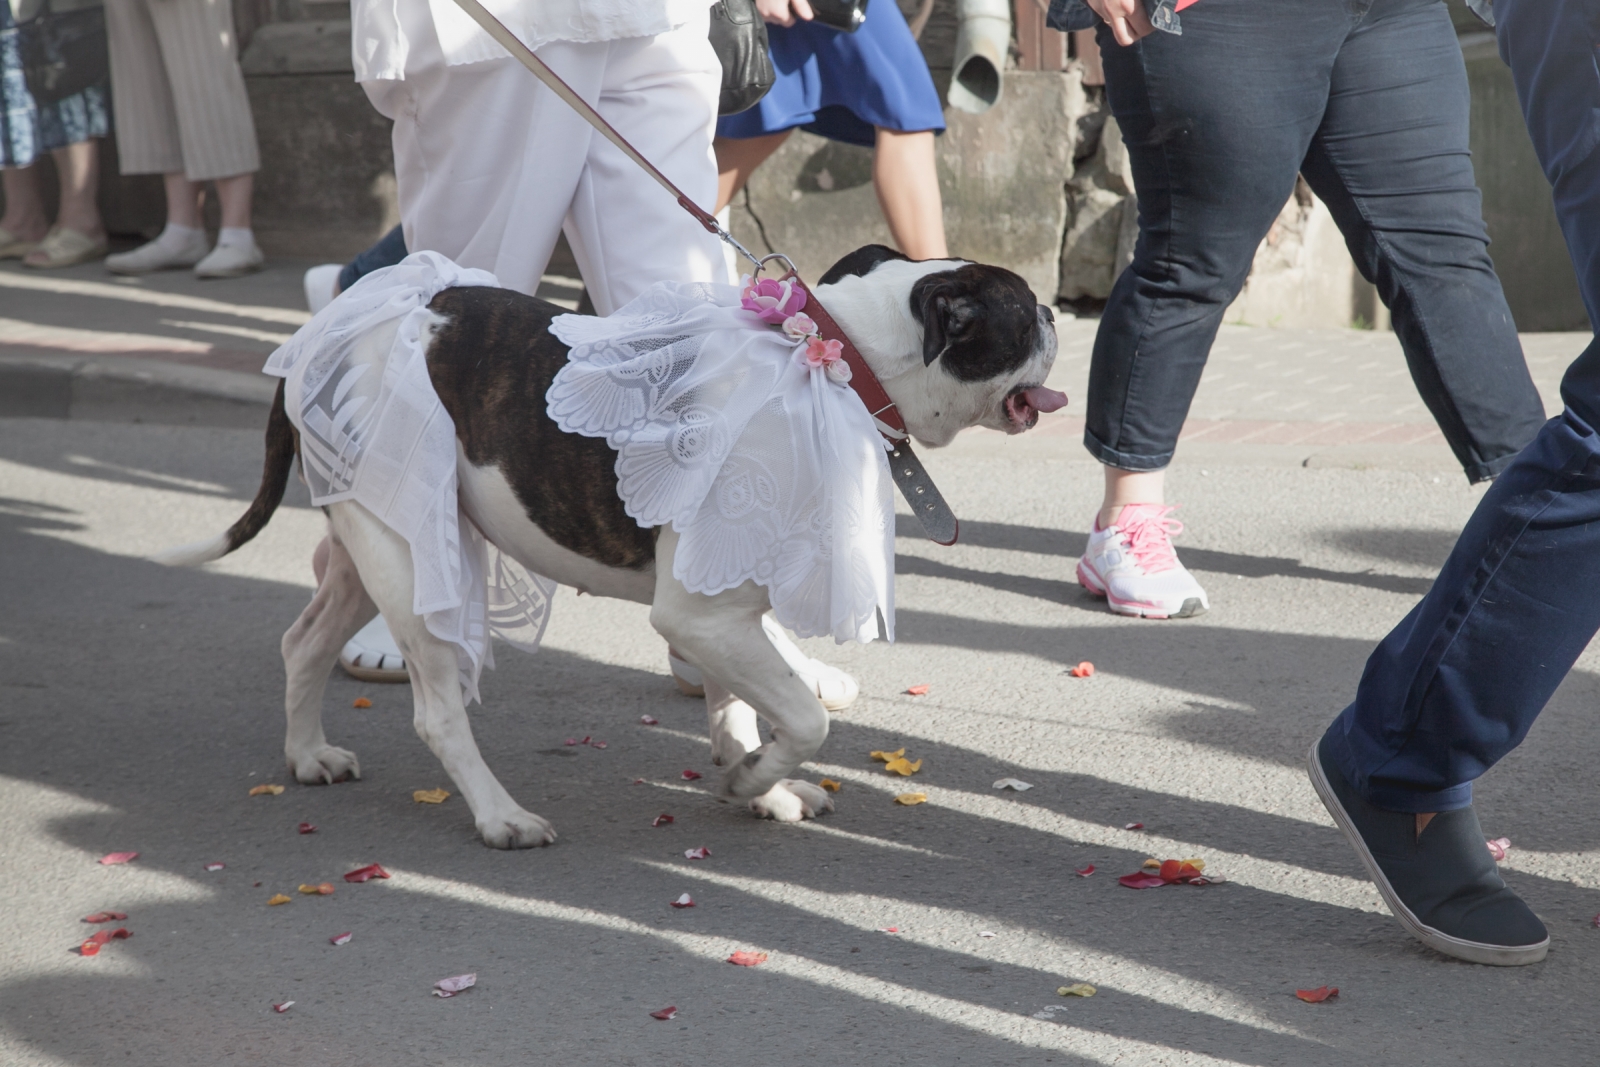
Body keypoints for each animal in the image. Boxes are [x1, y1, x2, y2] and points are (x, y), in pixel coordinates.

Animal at [165, 246, 1062, 844]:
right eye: (1026, 313)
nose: (1058, 314)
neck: (834, 359)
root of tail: (323, 332)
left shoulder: (723, 609)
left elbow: (740, 708)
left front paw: (757, 788)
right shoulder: (699, 616)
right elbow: (804, 717)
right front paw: (758, 777)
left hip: (371, 535)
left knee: (305, 639)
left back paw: (307, 754)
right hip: (407, 558)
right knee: (436, 711)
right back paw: (500, 815)